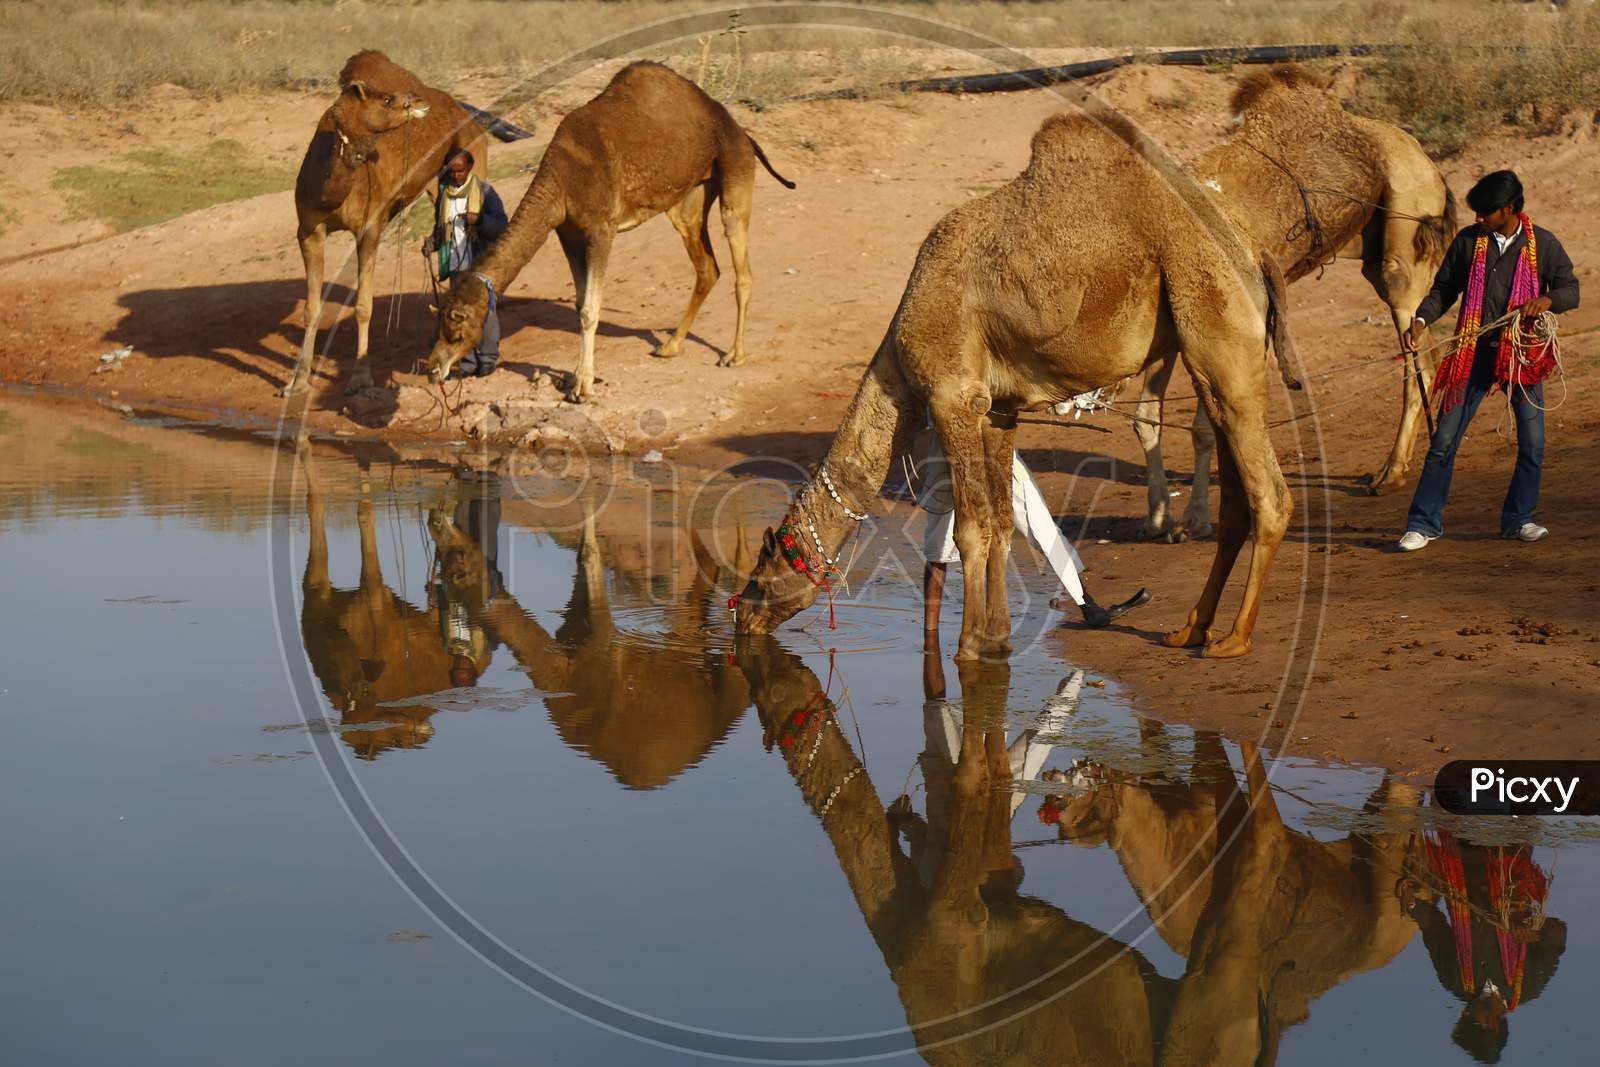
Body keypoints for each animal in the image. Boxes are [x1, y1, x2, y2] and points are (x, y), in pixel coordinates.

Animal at [284, 51, 489, 399]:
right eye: (387, 98)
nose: (417, 101)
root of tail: (469, 116)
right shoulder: (309, 230)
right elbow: (311, 308)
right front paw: (296, 383)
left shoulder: (369, 228)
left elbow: (363, 306)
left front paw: (360, 379)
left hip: (475, 158)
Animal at [428, 62, 796, 404]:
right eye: (441, 323)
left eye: (457, 326)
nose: (433, 368)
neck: (559, 182)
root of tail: (743, 132)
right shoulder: (568, 233)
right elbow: (580, 302)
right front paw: (572, 378)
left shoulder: (601, 230)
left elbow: (590, 309)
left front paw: (583, 386)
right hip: (689, 201)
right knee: (707, 267)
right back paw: (669, 346)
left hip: (735, 173)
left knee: (741, 266)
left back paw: (735, 355)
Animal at [736, 108, 1299, 659]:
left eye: (761, 572)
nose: (740, 617)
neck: (897, 355)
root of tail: (1255, 253)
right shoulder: (997, 407)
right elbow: (1003, 523)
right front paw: (998, 637)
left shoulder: (952, 395)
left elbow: (970, 528)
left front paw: (968, 647)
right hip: (1209, 354)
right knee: (1235, 499)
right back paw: (1191, 630)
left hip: (1215, 321)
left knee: (1270, 495)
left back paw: (1233, 640)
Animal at [1132, 64, 1459, 543]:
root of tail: (1427, 159)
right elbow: (1146, 418)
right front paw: (1159, 520)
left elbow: (1202, 427)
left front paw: (1196, 519)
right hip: (1372, 256)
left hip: (1404, 247)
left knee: (1419, 356)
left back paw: (1390, 475)